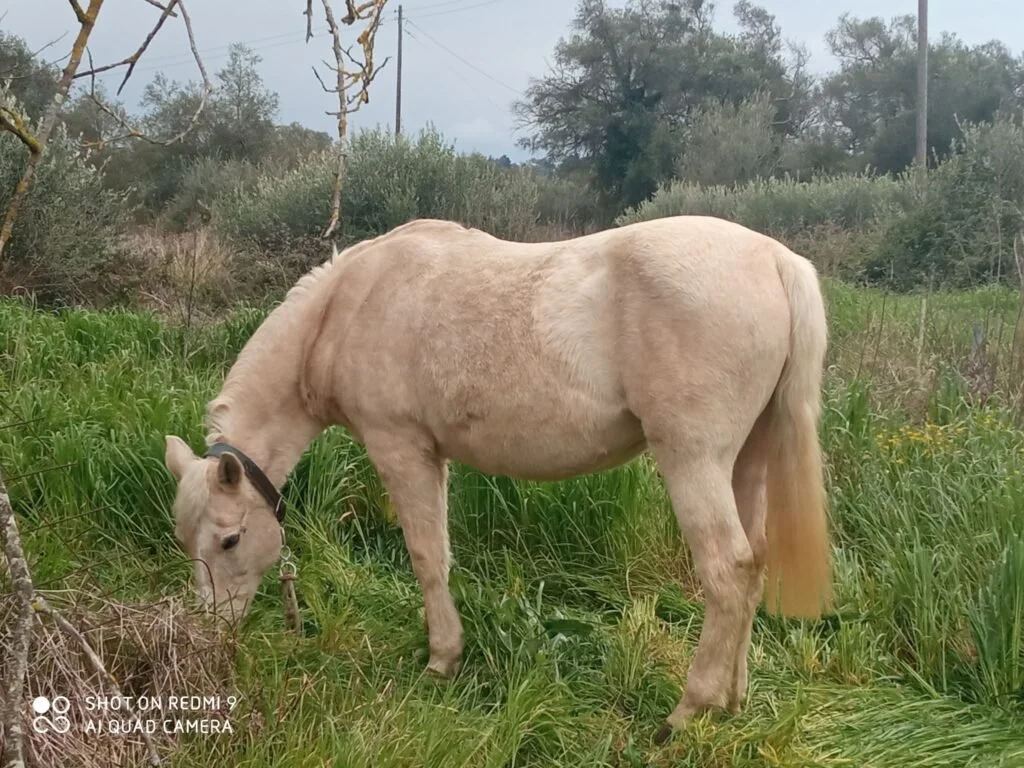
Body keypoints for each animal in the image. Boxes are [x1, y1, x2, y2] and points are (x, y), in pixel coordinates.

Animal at [163, 214, 831, 742]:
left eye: (229, 539)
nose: (210, 636)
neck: (347, 307)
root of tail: (774, 259)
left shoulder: (401, 447)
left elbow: (427, 555)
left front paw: (441, 660)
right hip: (746, 460)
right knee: (754, 566)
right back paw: (732, 701)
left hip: (694, 460)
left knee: (728, 572)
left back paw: (686, 712)